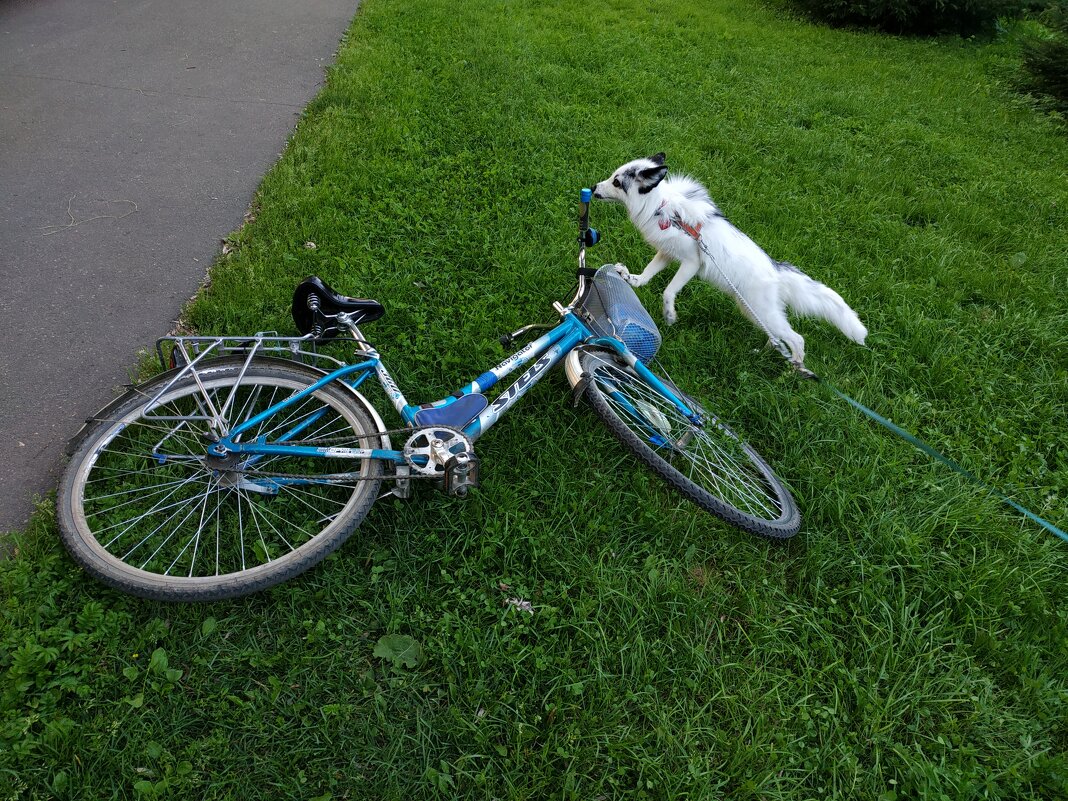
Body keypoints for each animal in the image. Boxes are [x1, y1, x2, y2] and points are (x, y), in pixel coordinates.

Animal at [593, 153, 867, 367]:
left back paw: (793, 372)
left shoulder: (691, 263)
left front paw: (669, 315)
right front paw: (632, 279)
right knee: (778, 339)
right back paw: (763, 355)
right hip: (754, 312)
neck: (661, 208)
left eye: (616, 182)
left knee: (797, 339)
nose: (594, 188)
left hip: (762, 312)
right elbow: (648, 274)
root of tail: (777, 271)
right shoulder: (667, 253)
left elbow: (668, 291)